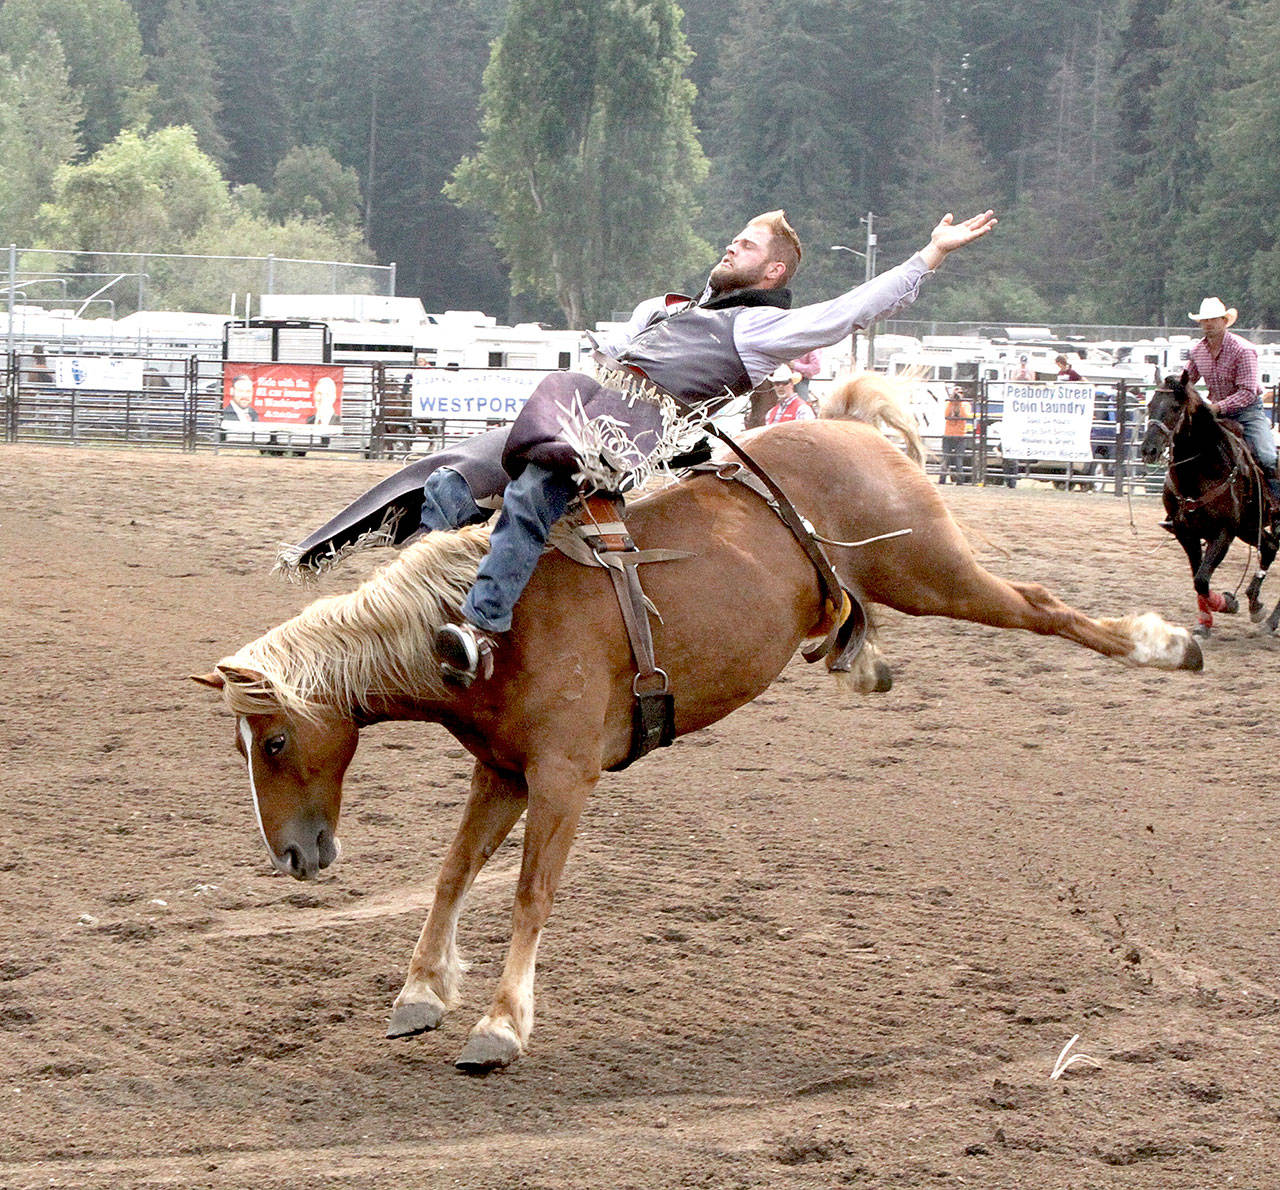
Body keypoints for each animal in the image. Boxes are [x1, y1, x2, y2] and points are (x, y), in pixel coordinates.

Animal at [195, 385, 1202, 1074]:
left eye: (274, 742)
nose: (292, 857)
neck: (482, 632)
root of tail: (849, 425)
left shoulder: (562, 778)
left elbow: (529, 894)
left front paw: (499, 1024)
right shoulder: (503, 772)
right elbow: (453, 872)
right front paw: (418, 990)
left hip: (931, 566)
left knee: (1037, 605)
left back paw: (1167, 644)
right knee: (876, 608)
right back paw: (862, 656)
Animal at [1139, 371, 1278, 636]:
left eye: (1175, 407)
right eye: (1150, 405)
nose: (1148, 450)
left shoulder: (1223, 533)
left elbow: (1202, 579)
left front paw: (1228, 604)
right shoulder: (1185, 532)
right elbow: (1198, 578)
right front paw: (1204, 624)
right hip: (1249, 527)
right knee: (1269, 546)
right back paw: (1258, 609)